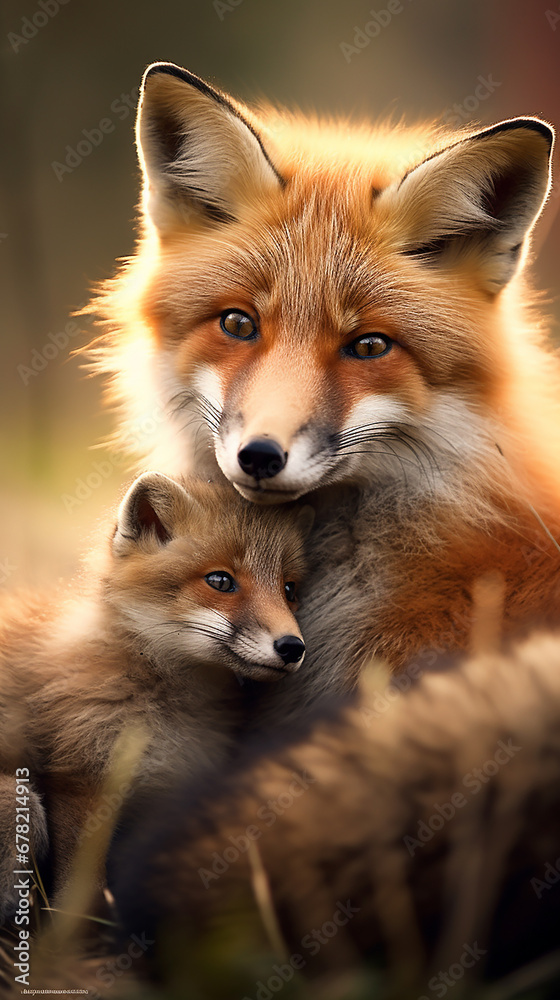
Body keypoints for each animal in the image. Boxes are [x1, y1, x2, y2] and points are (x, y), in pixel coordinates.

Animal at [0, 471, 309, 920]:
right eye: (220, 581)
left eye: (289, 590)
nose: (292, 647)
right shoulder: (83, 783)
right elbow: (82, 892)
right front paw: (81, 937)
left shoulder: (161, 798)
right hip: (15, 800)